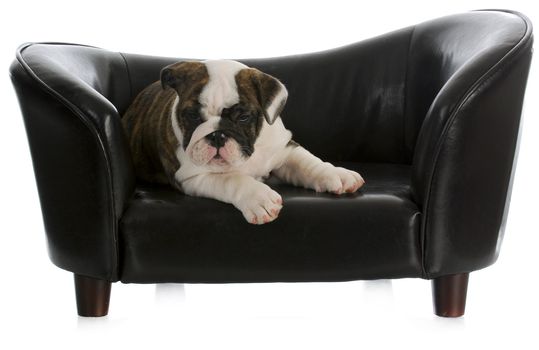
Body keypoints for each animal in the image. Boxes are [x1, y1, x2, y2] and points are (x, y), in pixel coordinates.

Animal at [124, 60, 364, 224]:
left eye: (243, 117)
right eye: (192, 116)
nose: (217, 135)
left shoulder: (283, 150)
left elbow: (308, 163)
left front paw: (336, 174)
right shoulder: (193, 176)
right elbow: (232, 179)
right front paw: (259, 198)